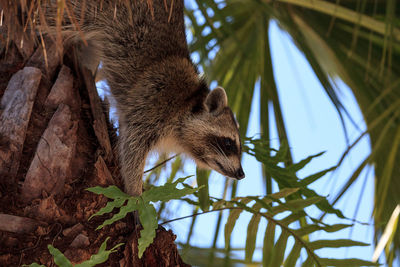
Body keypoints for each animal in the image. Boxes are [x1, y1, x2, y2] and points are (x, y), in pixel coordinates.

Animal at [45, 0, 244, 197]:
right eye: (228, 143)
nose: (241, 174)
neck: (187, 101)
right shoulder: (154, 101)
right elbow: (132, 146)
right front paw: (135, 195)